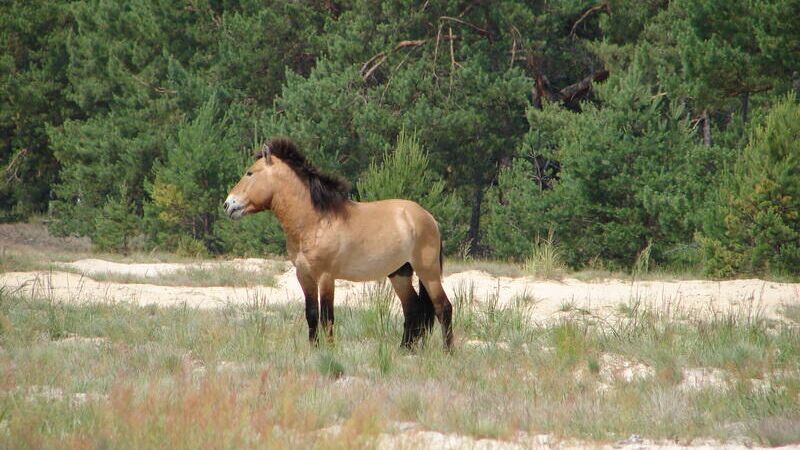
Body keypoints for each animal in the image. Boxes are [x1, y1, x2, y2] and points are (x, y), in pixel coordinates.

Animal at [222, 139, 454, 350]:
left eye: (250, 173)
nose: (228, 205)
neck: (315, 221)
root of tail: (428, 218)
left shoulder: (326, 277)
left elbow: (327, 316)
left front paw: (330, 350)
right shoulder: (304, 275)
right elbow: (311, 314)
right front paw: (314, 349)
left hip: (428, 271)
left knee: (443, 307)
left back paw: (448, 351)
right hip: (400, 273)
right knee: (413, 309)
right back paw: (404, 350)